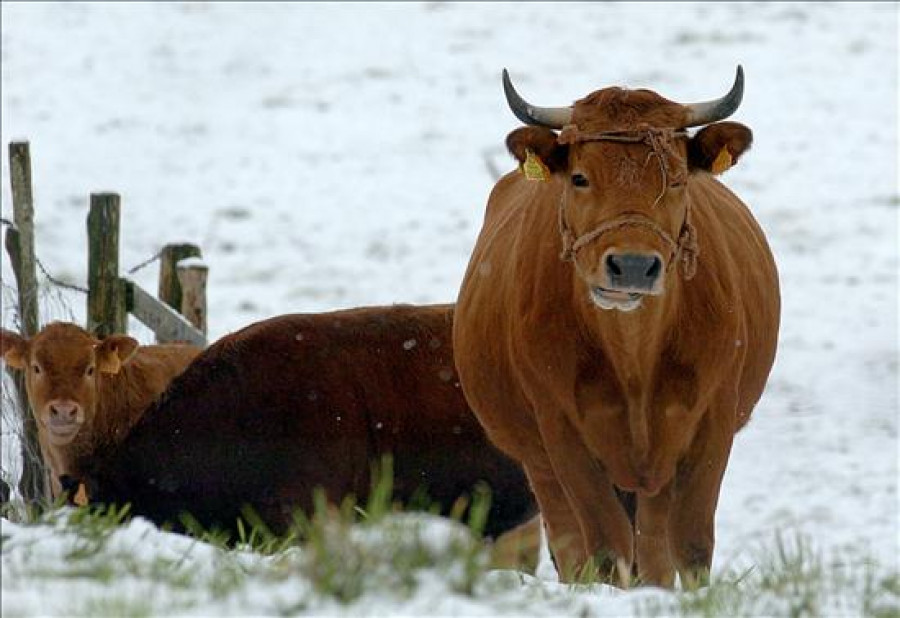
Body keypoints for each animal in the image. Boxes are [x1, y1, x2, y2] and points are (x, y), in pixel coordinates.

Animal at [458, 68, 780, 588]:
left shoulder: (710, 423)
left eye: (676, 179)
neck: (634, 356)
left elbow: (690, 546)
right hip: (538, 462)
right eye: (580, 177)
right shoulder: (562, 431)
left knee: (654, 547)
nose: (631, 266)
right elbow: (605, 547)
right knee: (571, 544)